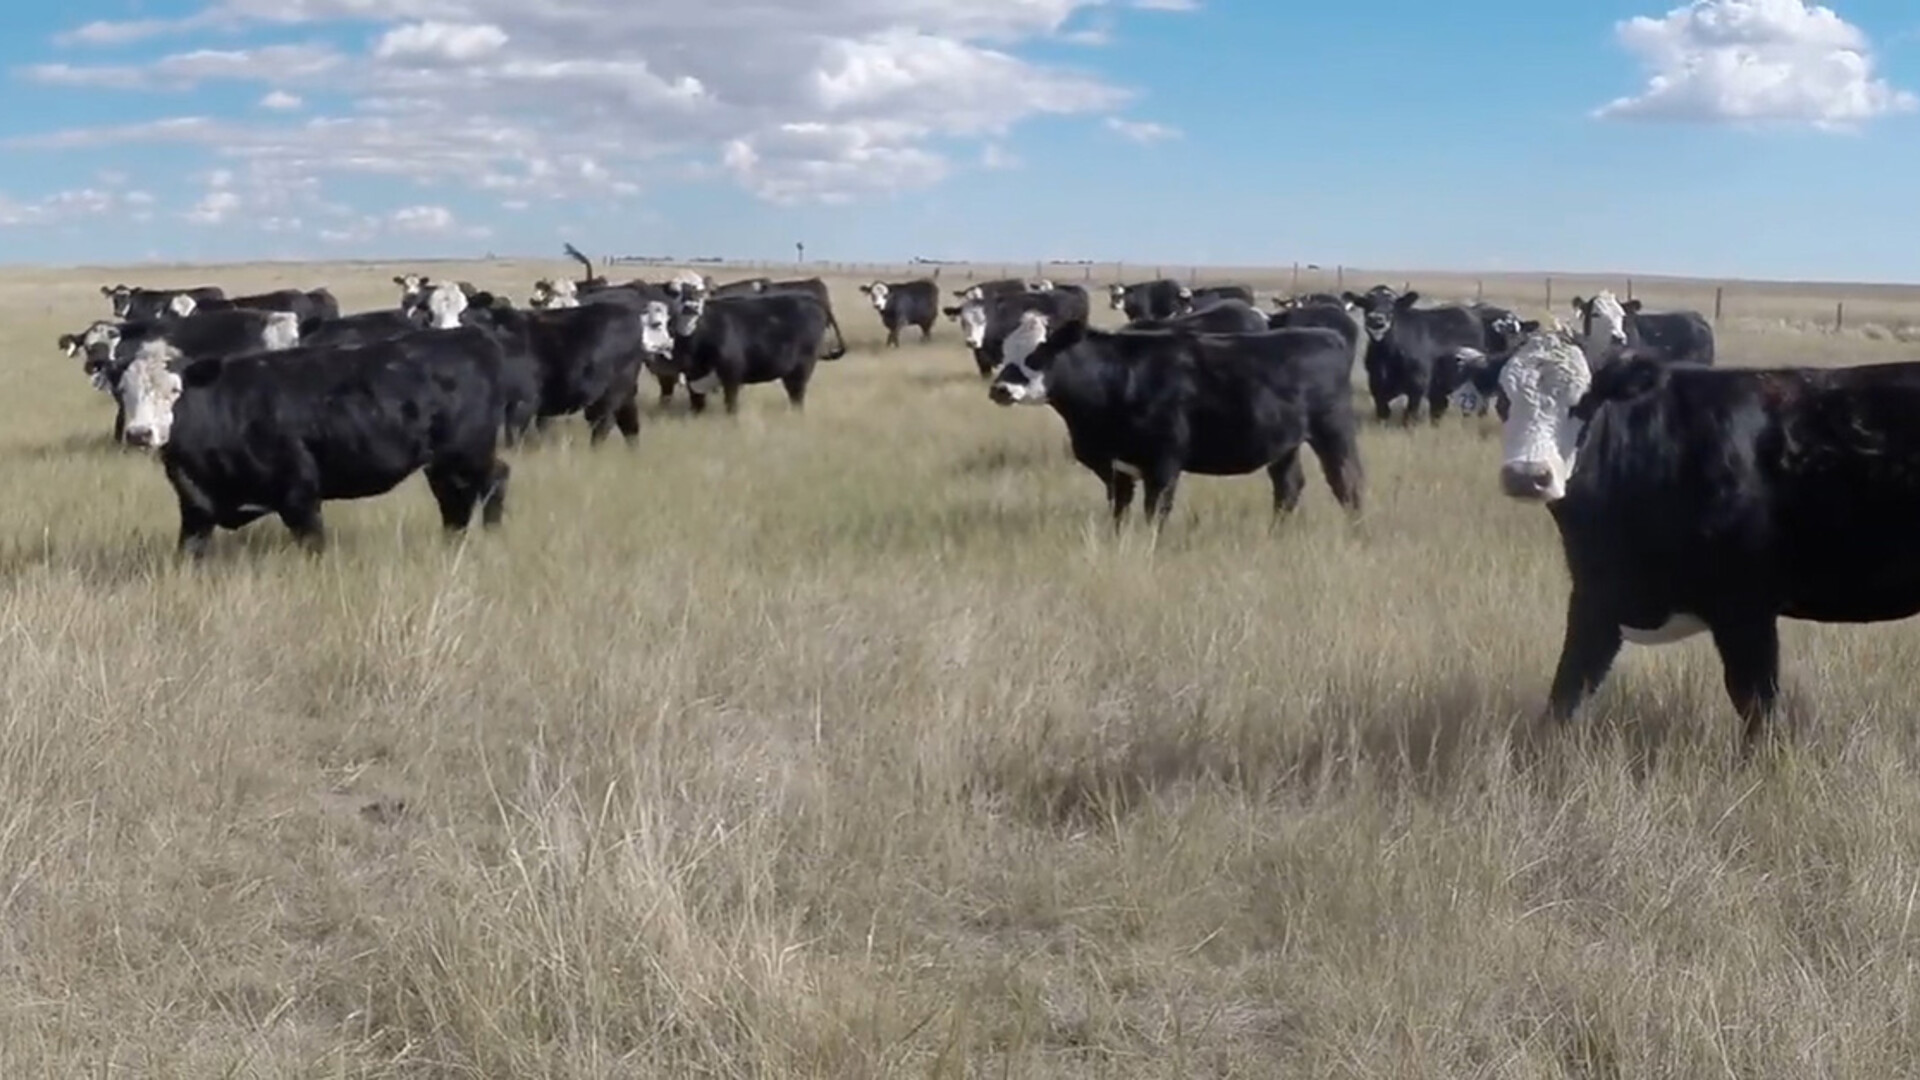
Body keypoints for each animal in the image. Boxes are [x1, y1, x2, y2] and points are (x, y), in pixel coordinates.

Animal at [113, 325, 513, 558]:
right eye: (122, 390)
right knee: (464, 496)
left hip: (466, 455)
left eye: (174, 390)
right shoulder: (196, 507)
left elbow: (314, 546)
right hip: (445, 463)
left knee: (484, 487)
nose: (139, 434)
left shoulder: (300, 496)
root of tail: (471, 335)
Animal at [666, 290, 848, 414]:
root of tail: (811, 298)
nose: (691, 307)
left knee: (797, 396)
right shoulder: (693, 380)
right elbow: (697, 405)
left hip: (802, 367)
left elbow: (731, 405)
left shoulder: (732, 375)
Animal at [986, 313, 1363, 530]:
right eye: (1005, 352)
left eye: (1039, 353)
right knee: (1288, 487)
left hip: (1334, 432)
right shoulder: (1117, 469)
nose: (1000, 389)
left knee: (1348, 482)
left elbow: (1156, 512)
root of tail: (1327, 335)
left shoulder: (1164, 462)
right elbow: (1119, 512)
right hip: (1284, 444)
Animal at [1343, 289, 1502, 425]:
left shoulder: (1418, 385)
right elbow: (1383, 414)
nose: (1376, 320)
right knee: (1439, 407)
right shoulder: (1376, 385)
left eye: (1392, 304)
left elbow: (1410, 416)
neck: (1387, 357)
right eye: (1366, 302)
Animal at [1492, 326, 1920, 747]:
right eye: (1503, 399)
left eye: (1584, 401)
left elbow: (1757, 705)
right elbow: (1565, 695)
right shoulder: (1596, 596)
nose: (1528, 475)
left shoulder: (1745, 606)